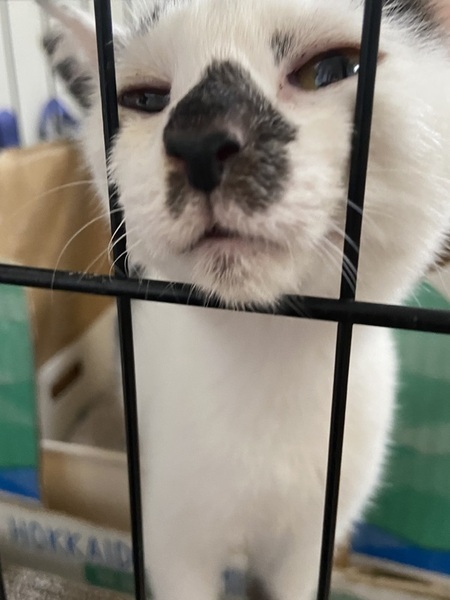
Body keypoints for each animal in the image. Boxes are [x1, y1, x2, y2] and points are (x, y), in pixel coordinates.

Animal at [36, 1, 450, 599]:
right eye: (146, 99)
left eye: (328, 69)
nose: (199, 140)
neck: (272, 367)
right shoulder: (173, 538)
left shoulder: (311, 543)